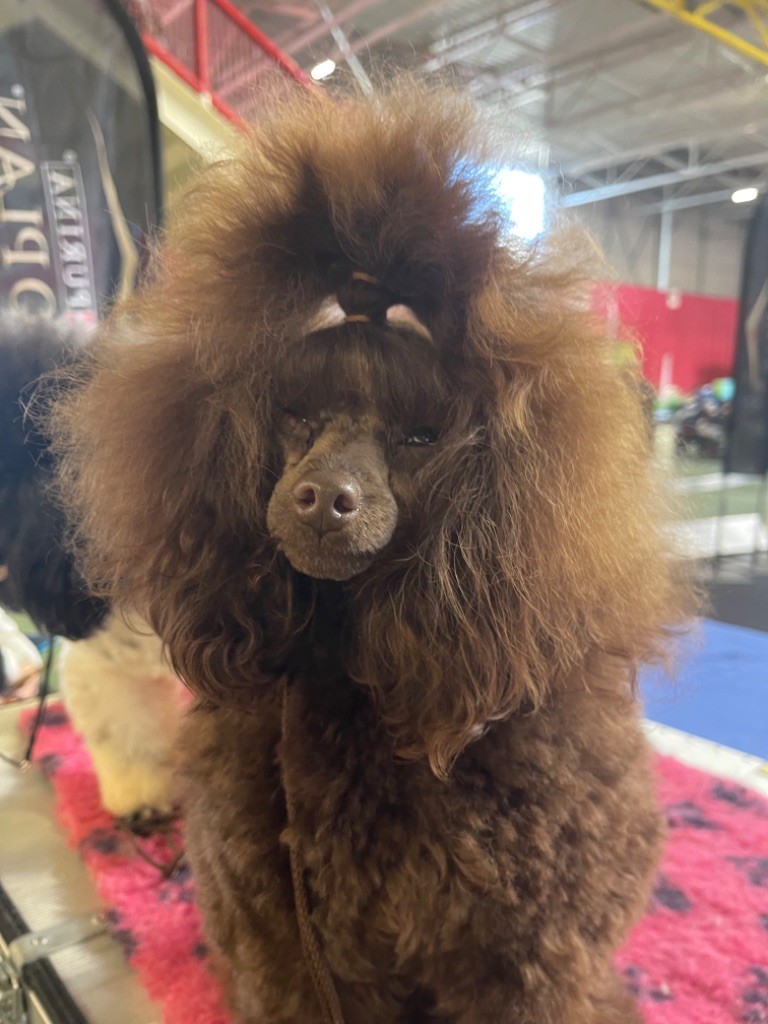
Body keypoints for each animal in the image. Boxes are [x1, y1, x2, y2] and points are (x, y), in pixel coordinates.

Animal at [51, 83, 692, 1023]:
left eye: (422, 436)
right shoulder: (285, 943)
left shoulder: (522, 962)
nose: (324, 497)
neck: (354, 680)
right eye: (295, 414)